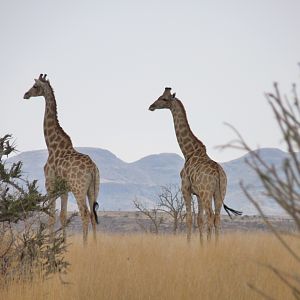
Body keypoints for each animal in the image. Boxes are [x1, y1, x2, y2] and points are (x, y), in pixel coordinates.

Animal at [23, 74, 100, 245]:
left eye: (35, 86)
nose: (25, 94)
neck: (52, 146)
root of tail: (93, 168)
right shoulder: (64, 189)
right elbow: (63, 216)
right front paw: (62, 244)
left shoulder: (50, 184)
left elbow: (52, 216)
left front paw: (51, 245)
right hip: (93, 189)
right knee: (93, 214)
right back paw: (95, 245)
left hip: (79, 188)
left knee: (85, 213)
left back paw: (85, 246)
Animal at [149, 88, 243, 243]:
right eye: (160, 96)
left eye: (163, 99)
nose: (151, 106)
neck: (188, 152)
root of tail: (218, 173)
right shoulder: (197, 193)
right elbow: (199, 219)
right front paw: (201, 244)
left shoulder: (186, 188)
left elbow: (189, 218)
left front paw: (190, 244)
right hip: (220, 192)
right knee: (217, 217)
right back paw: (216, 244)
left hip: (207, 193)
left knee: (211, 215)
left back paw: (212, 244)